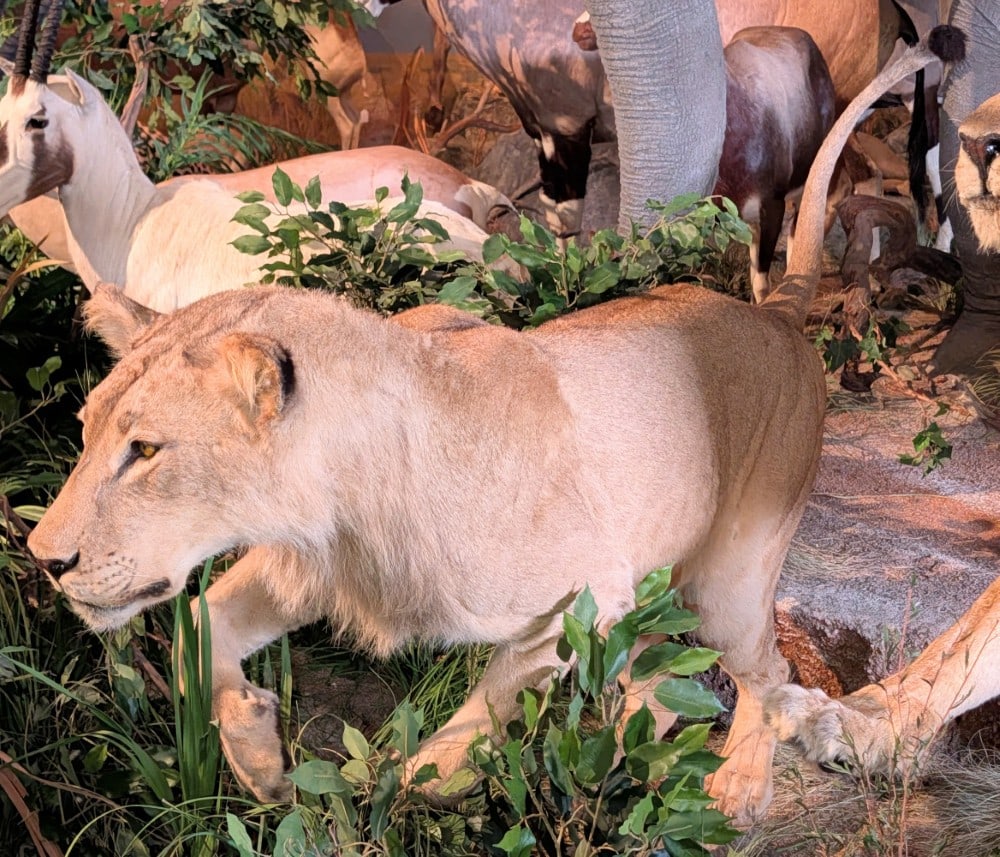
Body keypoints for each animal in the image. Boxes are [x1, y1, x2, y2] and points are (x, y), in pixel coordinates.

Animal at [25, 30, 958, 827]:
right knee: (671, 682)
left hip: (729, 578)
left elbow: (464, 730)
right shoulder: (317, 566)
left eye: (146, 451)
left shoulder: (586, 593)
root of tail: (776, 313)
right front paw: (258, 753)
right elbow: (206, 619)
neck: (345, 499)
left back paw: (736, 785)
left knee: (767, 674)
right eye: (86, 432)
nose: (43, 560)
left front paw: (403, 785)